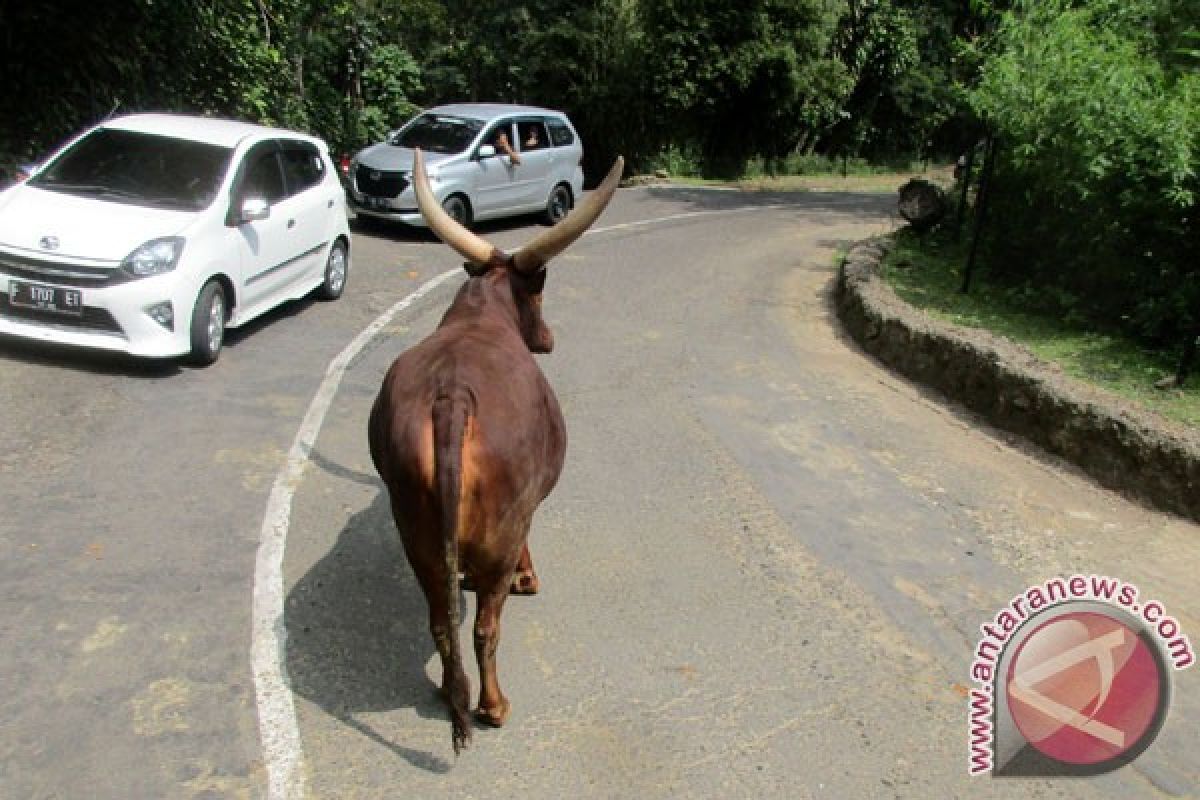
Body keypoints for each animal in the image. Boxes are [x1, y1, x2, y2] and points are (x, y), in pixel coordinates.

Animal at [369, 151, 624, 758]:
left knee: (442, 623)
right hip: (500, 529)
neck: (481, 317)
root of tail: (452, 395)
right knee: (485, 627)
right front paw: (529, 578)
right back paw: (494, 705)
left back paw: (450, 690)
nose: (548, 339)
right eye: (538, 294)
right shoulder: (526, 509)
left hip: (414, 535)